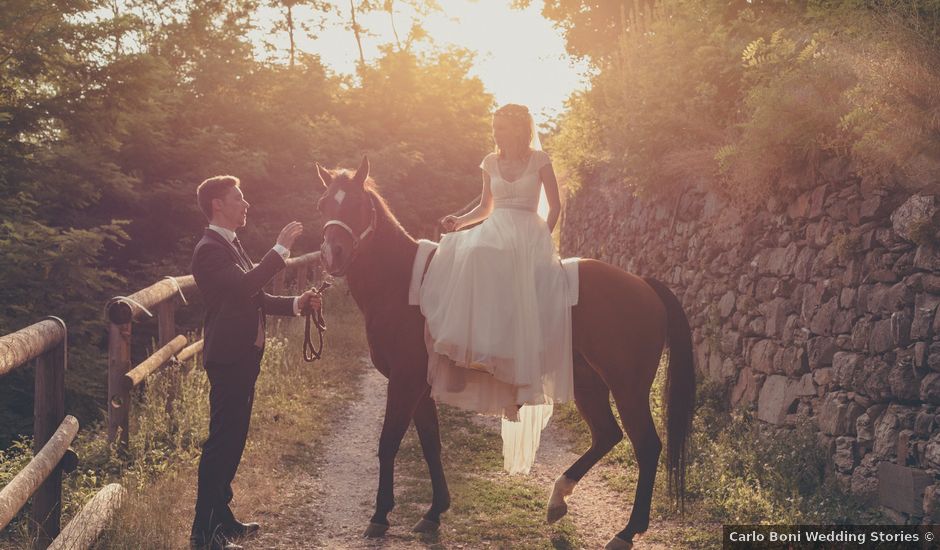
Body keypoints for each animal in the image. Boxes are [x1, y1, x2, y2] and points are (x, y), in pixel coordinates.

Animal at [312, 157, 692, 548]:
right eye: (323, 205)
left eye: (357, 204)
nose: (332, 253)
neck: (404, 284)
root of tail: (644, 285)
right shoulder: (420, 387)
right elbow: (431, 443)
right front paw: (434, 513)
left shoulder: (404, 382)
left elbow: (388, 442)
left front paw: (379, 516)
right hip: (588, 383)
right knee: (607, 435)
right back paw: (559, 499)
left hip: (628, 388)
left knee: (647, 446)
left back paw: (626, 531)